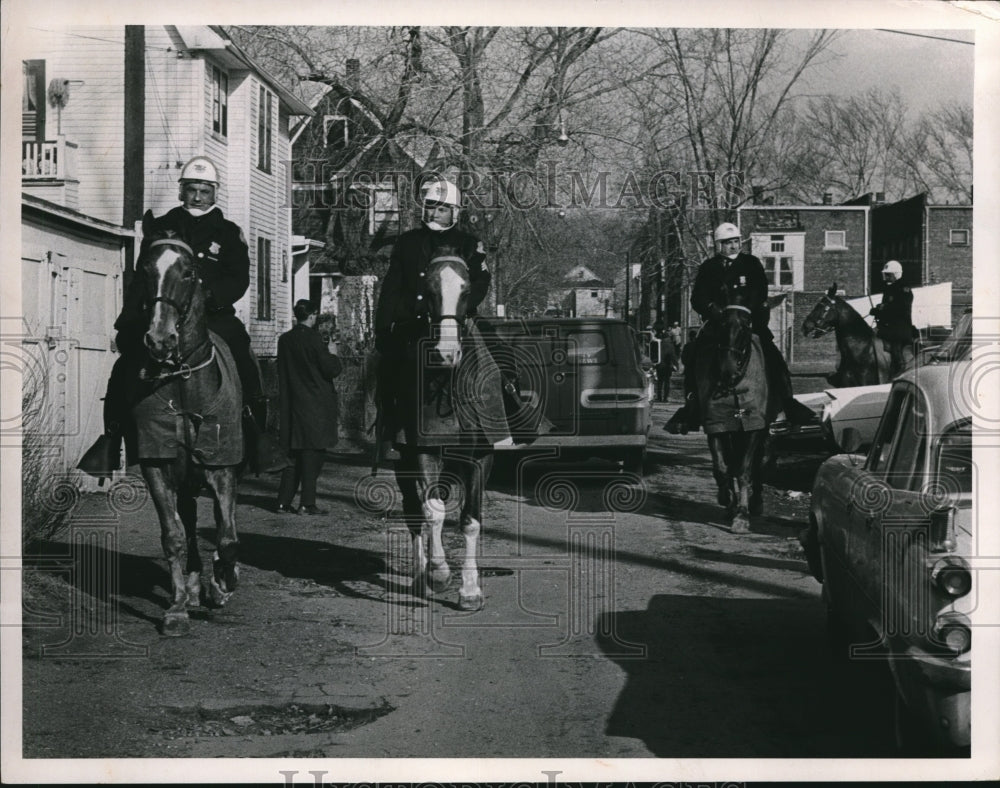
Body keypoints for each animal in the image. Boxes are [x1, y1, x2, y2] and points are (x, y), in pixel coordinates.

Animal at [133, 214, 242, 636]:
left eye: (189, 271)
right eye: (144, 269)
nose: (159, 339)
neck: (181, 383)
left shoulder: (221, 464)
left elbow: (227, 537)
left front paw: (223, 583)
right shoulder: (157, 464)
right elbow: (174, 536)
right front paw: (177, 608)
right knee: (190, 523)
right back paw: (193, 586)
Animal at [386, 254, 504, 608]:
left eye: (466, 290)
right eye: (427, 291)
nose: (446, 352)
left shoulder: (479, 459)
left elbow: (470, 520)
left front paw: (470, 589)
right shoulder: (423, 452)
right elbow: (433, 513)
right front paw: (438, 574)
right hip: (403, 464)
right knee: (416, 514)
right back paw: (420, 577)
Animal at [700, 290, 776, 536]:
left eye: (746, 326)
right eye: (720, 324)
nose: (728, 369)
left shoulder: (753, 426)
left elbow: (743, 470)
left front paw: (742, 515)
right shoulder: (716, 424)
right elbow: (722, 467)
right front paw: (727, 500)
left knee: (758, 463)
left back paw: (756, 502)